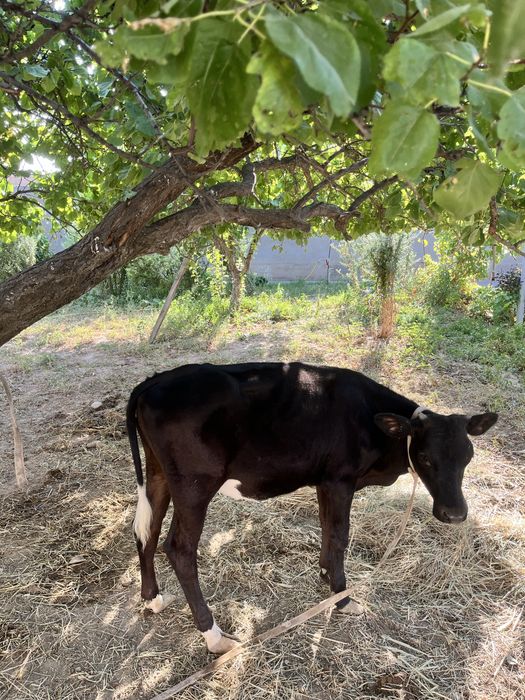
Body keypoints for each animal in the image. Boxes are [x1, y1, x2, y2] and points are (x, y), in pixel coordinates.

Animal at [126, 361, 497, 654]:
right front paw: (342, 597)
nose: (455, 514)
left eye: (468, 456)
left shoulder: (324, 481)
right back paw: (213, 636)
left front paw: (325, 575)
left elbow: (325, 526)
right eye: (425, 457)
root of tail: (155, 381)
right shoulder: (341, 479)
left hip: (159, 473)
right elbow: (340, 535)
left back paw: (152, 599)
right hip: (194, 486)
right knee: (179, 549)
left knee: (147, 530)